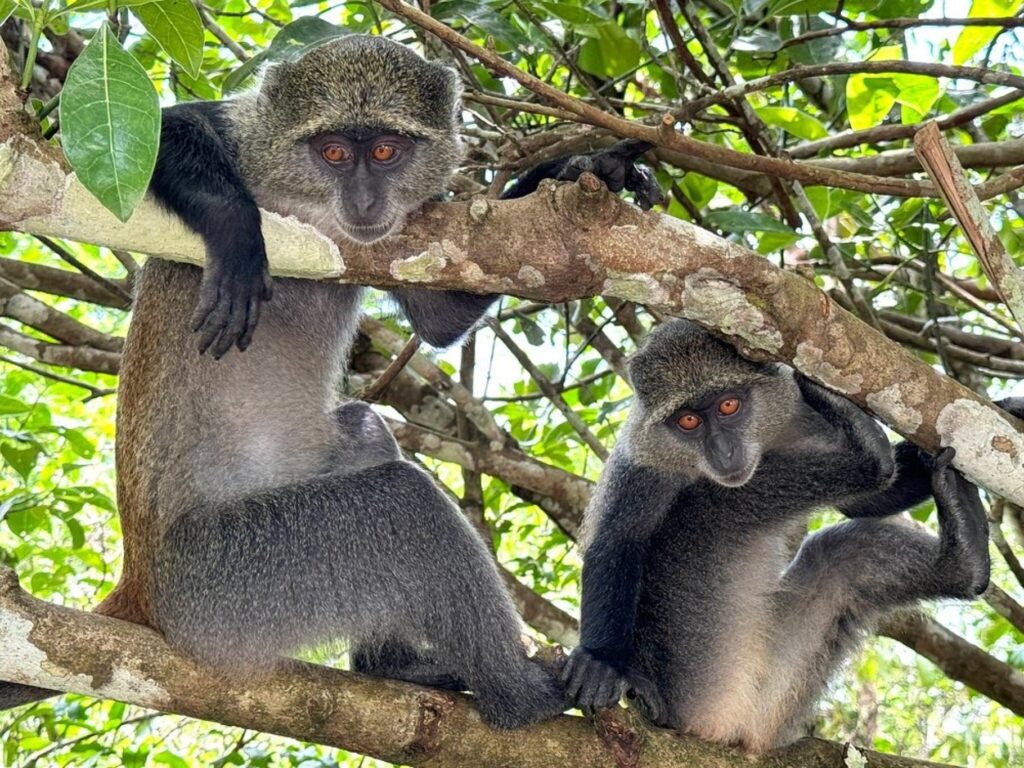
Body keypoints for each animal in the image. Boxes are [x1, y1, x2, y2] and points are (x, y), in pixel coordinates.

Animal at [0, 34, 661, 723]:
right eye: (335, 152)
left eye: (386, 151)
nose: (366, 203)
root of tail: (143, 591)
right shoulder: (248, 140)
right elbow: (165, 129)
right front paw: (237, 232)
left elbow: (440, 315)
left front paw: (578, 169)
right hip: (227, 583)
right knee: (401, 503)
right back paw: (520, 696)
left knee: (365, 428)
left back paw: (393, 664)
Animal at [562, 319, 995, 751]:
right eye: (688, 422)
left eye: (729, 405)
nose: (723, 450)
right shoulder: (641, 462)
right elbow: (618, 540)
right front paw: (601, 661)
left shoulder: (799, 412)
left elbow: (865, 504)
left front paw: (1002, 409)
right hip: (700, 660)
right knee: (704, 507)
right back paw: (873, 459)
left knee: (841, 555)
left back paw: (962, 561)